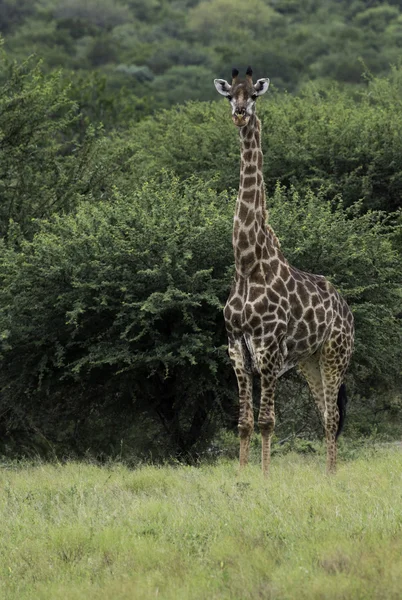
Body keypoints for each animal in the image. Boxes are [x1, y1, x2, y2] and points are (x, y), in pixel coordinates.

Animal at [215, 68, 354, 476]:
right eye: (229, 94)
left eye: (253, 96)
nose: (240, 114)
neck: (248, 262)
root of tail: (347, 309)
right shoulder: (236, 348)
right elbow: (244, 423)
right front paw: (241, 475)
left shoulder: (269, 349)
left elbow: (266, 421)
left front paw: (263, 477)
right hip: (309, 361)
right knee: (326, 414)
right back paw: (327, 473)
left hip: (335, 354)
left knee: (331, 418)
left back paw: (331, 476)